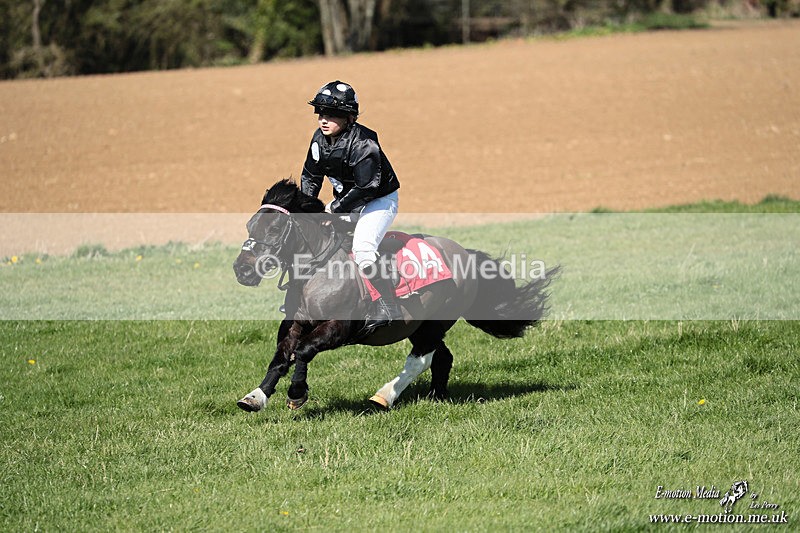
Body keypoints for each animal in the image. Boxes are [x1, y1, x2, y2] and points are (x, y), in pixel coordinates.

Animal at [232, 179, 558, 411]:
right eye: (249, 225)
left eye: (275, 228)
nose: (242, 269)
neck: (318, 271)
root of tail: (464, 253)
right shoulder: (295, 323)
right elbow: (280, 357)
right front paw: (255, 396)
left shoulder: (339, 327)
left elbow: (302, 351)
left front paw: (297, 393)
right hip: (420, 326)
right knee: (443, 356)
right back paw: (437, 395)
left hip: (435, 322)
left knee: (421, 360)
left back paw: (384, 396)